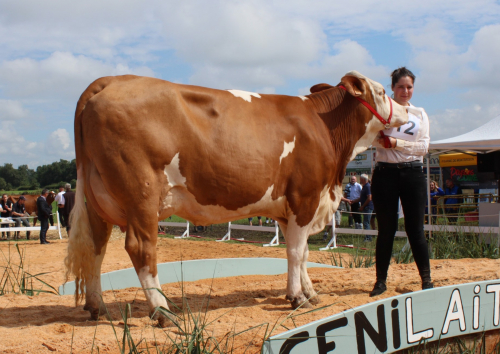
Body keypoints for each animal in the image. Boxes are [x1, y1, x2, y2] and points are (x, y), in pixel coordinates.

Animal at [64, 71, 408, 326]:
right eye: (380, 91)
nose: (406, 109)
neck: (323, 124)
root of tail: (111, 80)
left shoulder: (289, 207)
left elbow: (301, 254)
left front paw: (308, 293)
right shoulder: (305, 196)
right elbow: (297, 252)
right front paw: (297, 298)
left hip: (98, 200)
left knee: (96, 247)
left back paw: (97, 306)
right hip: (142, 194)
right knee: (140, 248)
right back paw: (162, 311)